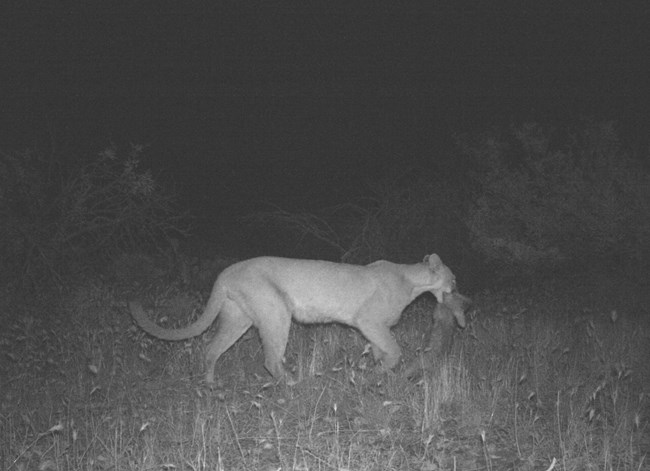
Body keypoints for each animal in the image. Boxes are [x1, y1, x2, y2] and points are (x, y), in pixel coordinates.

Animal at [130, 254, 456, 384]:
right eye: (453, 277)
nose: (458, 287)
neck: (412, 281)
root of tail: (226, 272)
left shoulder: (376, 328)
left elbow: (381, 351)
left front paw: (378, 374)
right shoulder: (370, 321)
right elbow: (395, 350)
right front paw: (384, 373)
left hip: (238, 318)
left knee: (211, 348)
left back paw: (210, 385)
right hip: (276, 312)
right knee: (270, 359)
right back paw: (293, 384)